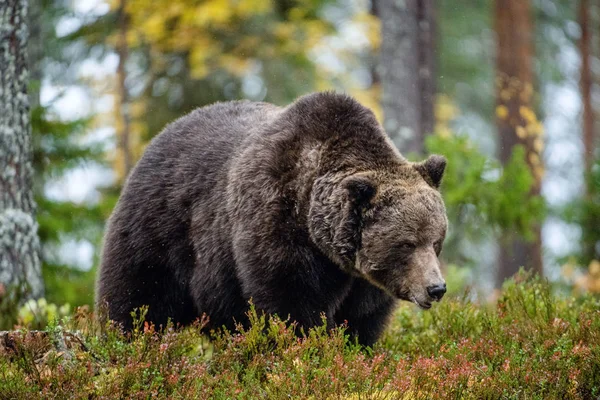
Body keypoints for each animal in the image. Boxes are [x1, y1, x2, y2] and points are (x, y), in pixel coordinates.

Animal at [96, 92, 448, 346]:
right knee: (138, 298)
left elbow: (361, 322)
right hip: (161, 230)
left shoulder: (361, 282)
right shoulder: (275, 221)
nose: (436, 288)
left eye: (436, 241)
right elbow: (290, 306)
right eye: (406, 243)